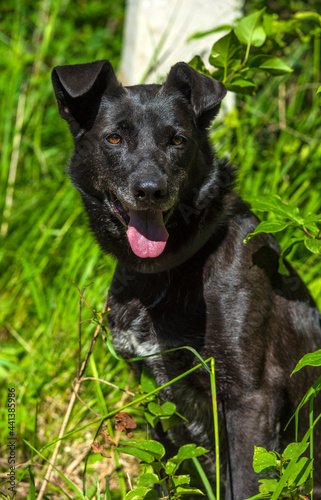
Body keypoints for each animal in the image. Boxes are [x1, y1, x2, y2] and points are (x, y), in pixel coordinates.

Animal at [51, 60, 318, 498]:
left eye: (177, 140)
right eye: (114, 137)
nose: (150, 191)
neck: (167, 273)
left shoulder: (251, 396)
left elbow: (248, 480)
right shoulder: (154, 395)